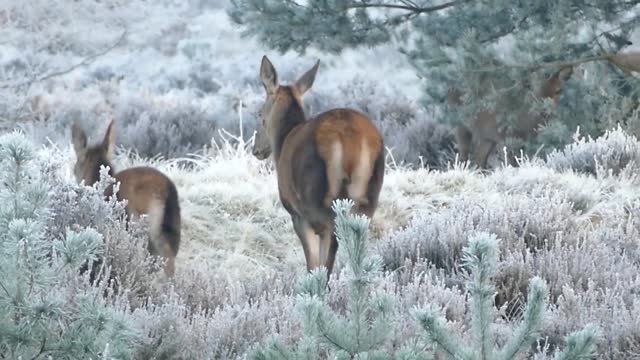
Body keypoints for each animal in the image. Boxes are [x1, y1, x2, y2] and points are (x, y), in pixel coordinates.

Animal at [252, 55, 384, 278]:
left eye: (260, 114)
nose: (256, 149)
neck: (283, 140)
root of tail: (350, 139)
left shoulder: (298, 215)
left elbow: (313, 264)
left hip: (322, 201)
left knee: (327, 263)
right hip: (368, 200)